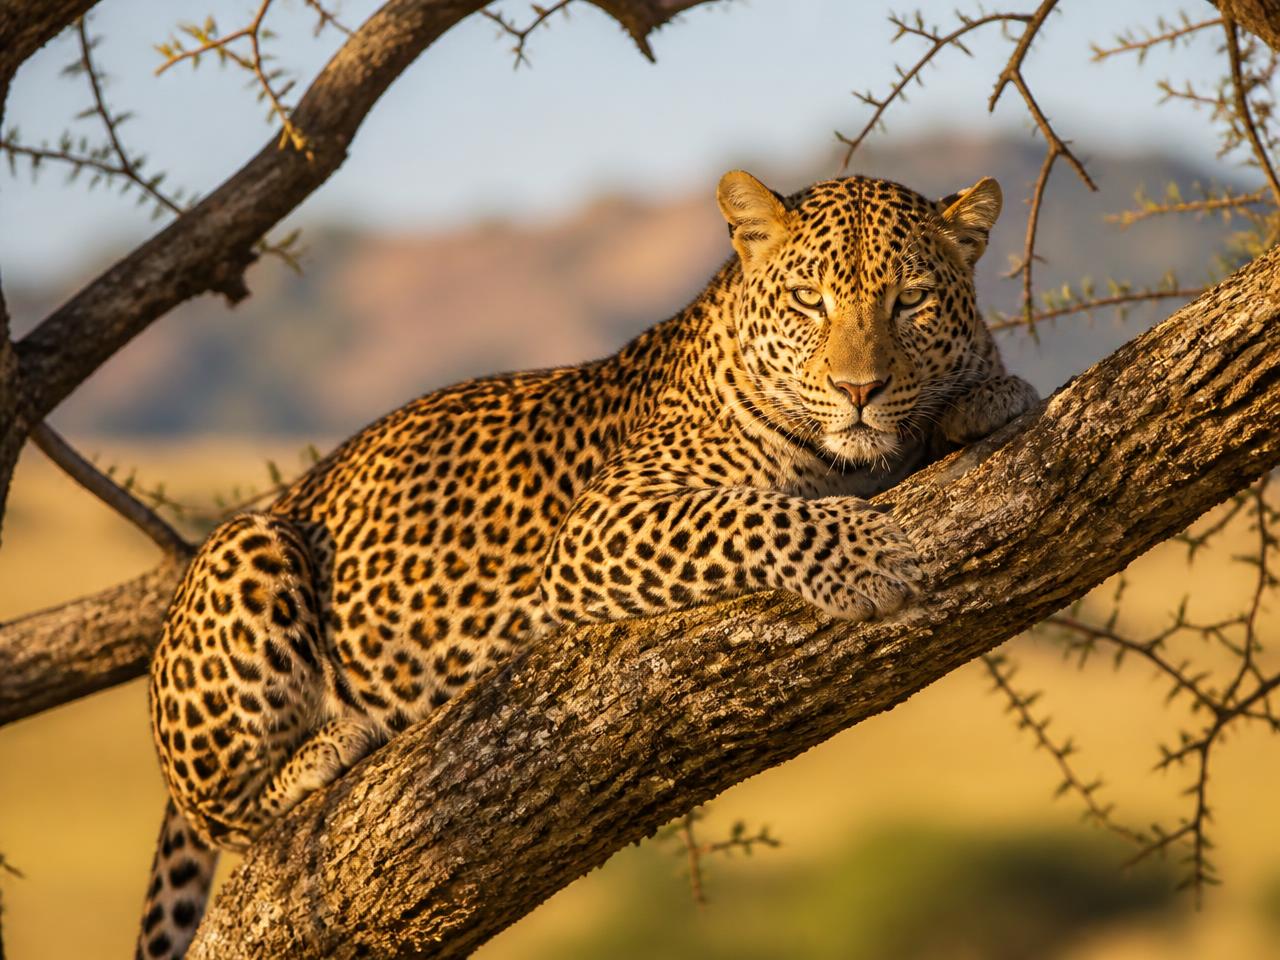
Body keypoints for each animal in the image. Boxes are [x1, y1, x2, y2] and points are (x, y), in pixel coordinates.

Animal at [135, 169, 1038, 958]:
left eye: (910, 301)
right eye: (808, 302)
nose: (859, 388)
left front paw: (991, 394)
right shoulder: (600, 524)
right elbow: (752, 513)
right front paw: (869, 554)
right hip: (249, 550)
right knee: (219, 812)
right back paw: (328, 746)